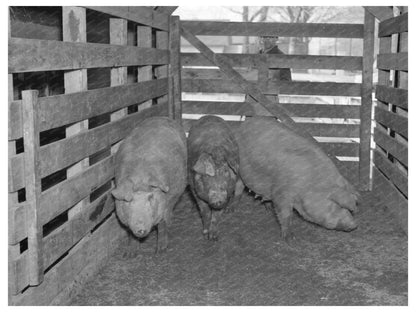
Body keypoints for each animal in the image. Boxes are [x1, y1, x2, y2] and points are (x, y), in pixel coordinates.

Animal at [112, 117, 187, 254]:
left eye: (150, 198)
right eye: (128, 201)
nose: (140, 228)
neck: (139, 178)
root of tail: (163, 117)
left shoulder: (165, 204)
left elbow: (162, 226)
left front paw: (160, 251)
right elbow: (130, 233)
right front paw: (129, 254)